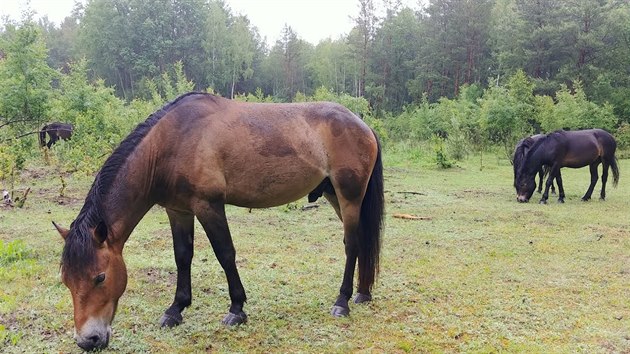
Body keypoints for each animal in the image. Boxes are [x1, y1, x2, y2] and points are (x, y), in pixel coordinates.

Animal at [54, 92, 388, 352]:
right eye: (66, 280)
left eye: (100, 277)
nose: (87, 341)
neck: (171, 143)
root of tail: (363, 125)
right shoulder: (178, 211)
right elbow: (183, 256)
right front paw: (175, 310)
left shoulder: (209, 206)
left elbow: (225, 254)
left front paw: (236, 310)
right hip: (335, 196)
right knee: (359, 242)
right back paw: (363, 293)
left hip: (349, 197)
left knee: (352, 244)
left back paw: (343, 301)